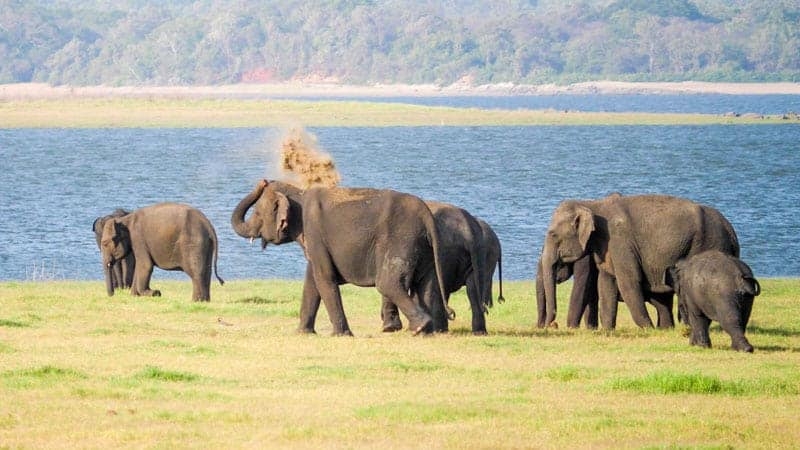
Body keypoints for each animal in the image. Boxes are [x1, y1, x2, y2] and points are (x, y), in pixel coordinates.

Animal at [230, 178, 450, 334]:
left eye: (257, 213)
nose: (263, 181)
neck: (298, 193)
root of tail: (426, 214)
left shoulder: (315, 233)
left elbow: (324, 278)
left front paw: (341, 334)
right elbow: (312, 281)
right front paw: (302, 333)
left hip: (400, 241)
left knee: (387, 283)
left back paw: (420, 327)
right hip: (422, 247)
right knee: (427, 285)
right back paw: (427, 330)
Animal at [380, 202, 504, 336]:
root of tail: (467, 228)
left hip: (445, 251)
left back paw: (437, 330)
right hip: (479, 253)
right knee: (473, 288)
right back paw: (478, 332)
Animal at [536, 195, 736, 328]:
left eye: (552, 234)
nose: (551, 325)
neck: (593, 203)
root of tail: (732, 232)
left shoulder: (620, 242)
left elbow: (628, 281)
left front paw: (648, 329)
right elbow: (606, 282)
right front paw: (607, 331)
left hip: (707, 243)